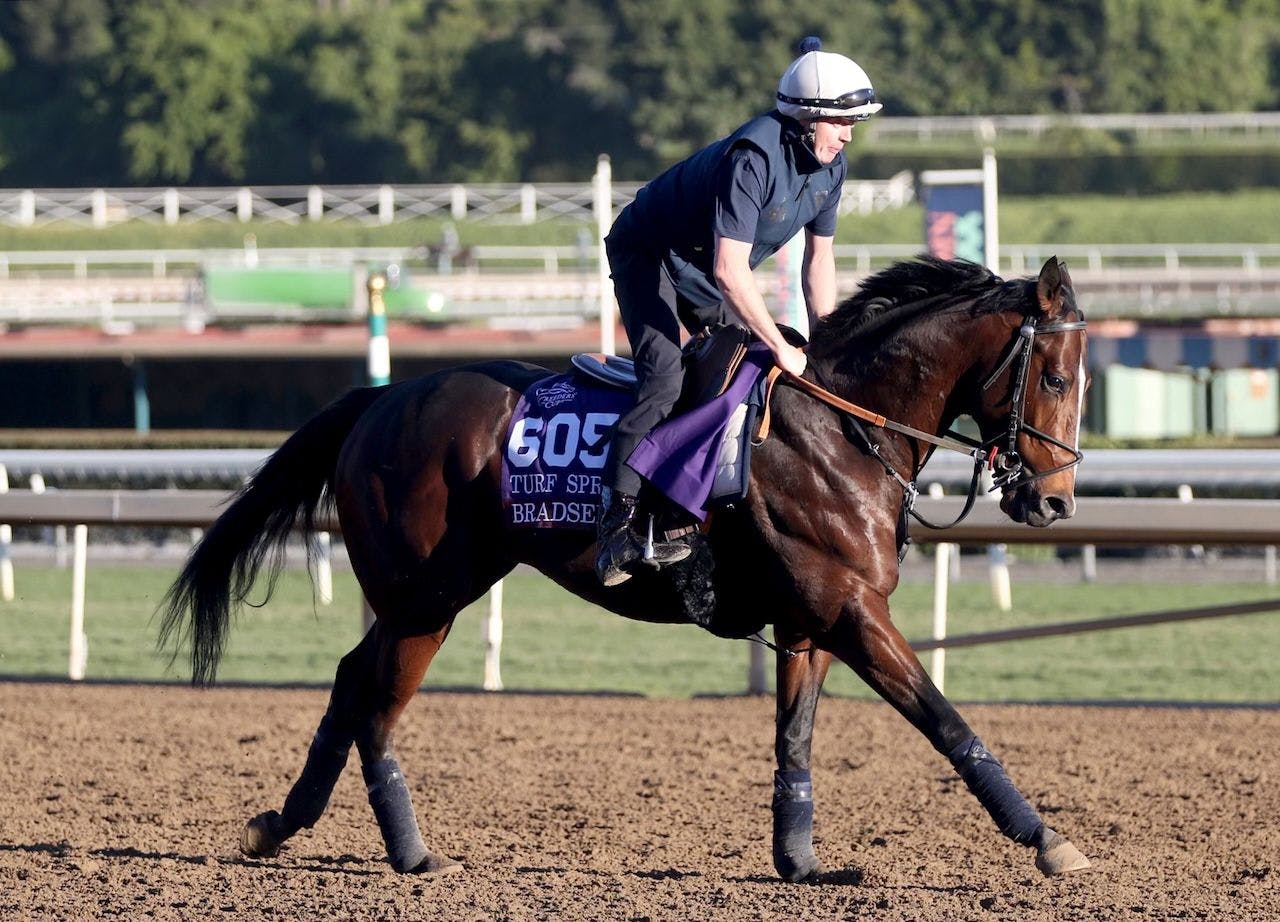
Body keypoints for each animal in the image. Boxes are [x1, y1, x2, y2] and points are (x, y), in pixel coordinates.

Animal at [157, 252, 1090, 881]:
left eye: (1080, 381)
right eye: (1051, 377)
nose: (1053, 503)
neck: (844, 428)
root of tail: (381, 399)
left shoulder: (811, 620)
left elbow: (795, 733)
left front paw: (799, 861)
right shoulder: (851, 610)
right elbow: (943, 718)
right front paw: (1048, 839)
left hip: (426, 592)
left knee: (354, 680)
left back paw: (295, 825)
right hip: (427, 594)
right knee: (374, 698)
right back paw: (403, 849)